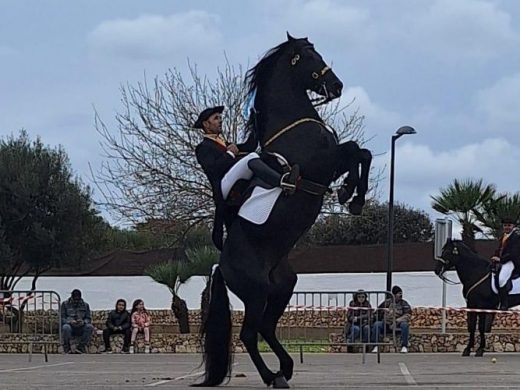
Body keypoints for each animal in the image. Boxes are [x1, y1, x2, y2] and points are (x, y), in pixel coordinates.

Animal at [194, 35, 370, 388]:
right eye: (308, 56)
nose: (336, 86)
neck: (294, 124)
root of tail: (221, 265)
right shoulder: (324, 163)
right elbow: (358, 151)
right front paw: (352, 193)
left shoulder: (329, 163)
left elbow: (361, 151)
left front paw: (352, 193)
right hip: (255, 292)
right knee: (249, 334)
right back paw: (273, 376)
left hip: (282, 287)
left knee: (265, 327)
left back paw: (285, 369)